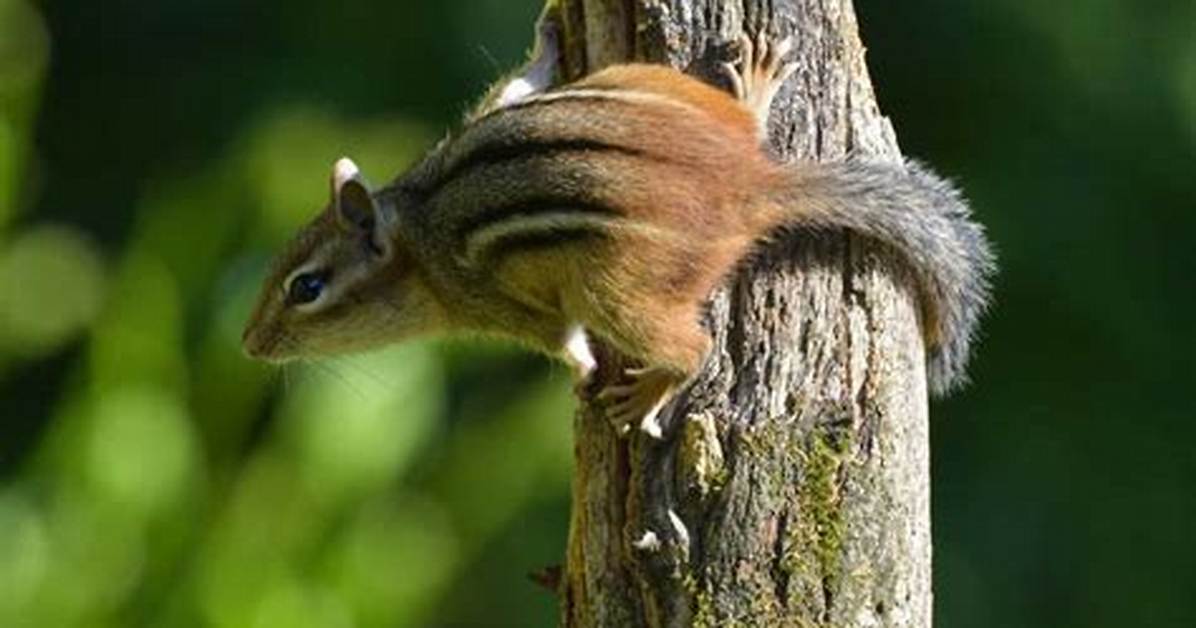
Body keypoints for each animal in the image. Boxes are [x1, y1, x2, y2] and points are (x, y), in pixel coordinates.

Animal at [242, 10, 995, 436]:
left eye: (306, 288)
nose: (250, 344)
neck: (416, 235)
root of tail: (751, 185)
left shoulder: (501, 305)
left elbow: (561, 339)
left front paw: (579, 374)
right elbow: (512, 89)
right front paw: (545, 40)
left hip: (618, 286)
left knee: (691, 347)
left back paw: (650, 391)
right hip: (644, 77)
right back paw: (752, 91)